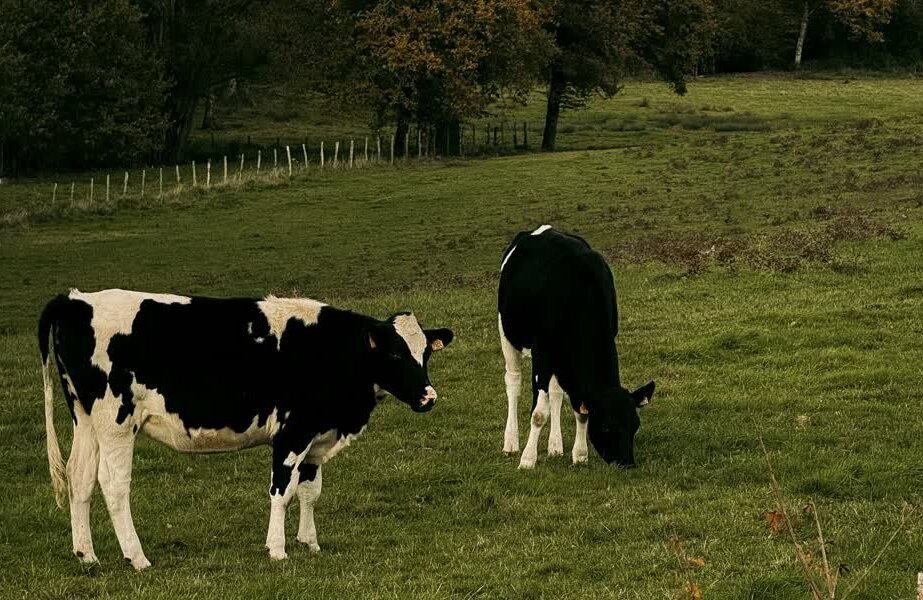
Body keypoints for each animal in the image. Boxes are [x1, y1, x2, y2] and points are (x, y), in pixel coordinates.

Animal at [38, 289, 453, 569]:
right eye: (395, 353)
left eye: (425, 352)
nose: (428, 397)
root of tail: (76, 300)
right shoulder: (292, 432)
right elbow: (282, 492)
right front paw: (278, 549)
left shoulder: (317, 435)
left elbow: (310, 491)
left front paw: (310, 542)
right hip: (115, 422)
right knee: (113, 484)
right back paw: (136, 556)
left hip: (85, 420)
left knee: (79, 477)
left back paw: (87, 555)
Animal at [498, 225, 655, 469]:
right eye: (606, 427)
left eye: (635, 425)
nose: (627, 464)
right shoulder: (542, 352)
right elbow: (538, 414)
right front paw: (527, 459)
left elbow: (580, 410)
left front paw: (580, 454)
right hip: (508, 334)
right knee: (513, 382)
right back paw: (511, 442)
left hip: (559, 358)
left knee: (555, 393)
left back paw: (555, 446)